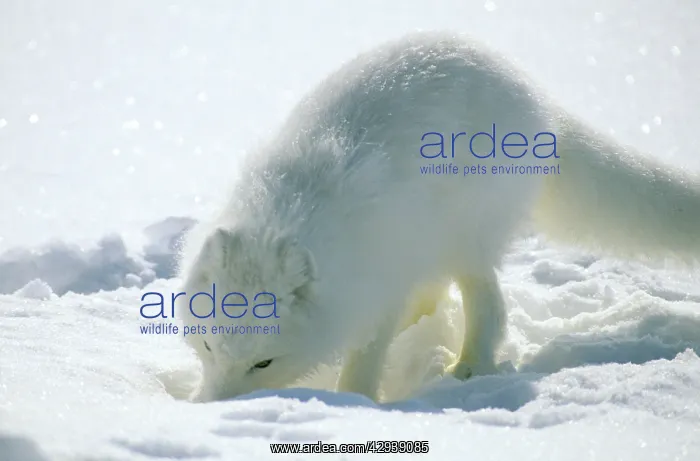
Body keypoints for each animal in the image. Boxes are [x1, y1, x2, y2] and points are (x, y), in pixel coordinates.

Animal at [175, 31, 700, 403]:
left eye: (263, 364)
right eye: (208, 348)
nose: (210, 408)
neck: (286, 212)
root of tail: (539, 99)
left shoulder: (378, 289)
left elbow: (366, 358)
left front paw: (354, 403)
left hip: (466, 235)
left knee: (486, 301)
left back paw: (468, 367)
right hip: (432, 238)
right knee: (434, 286)